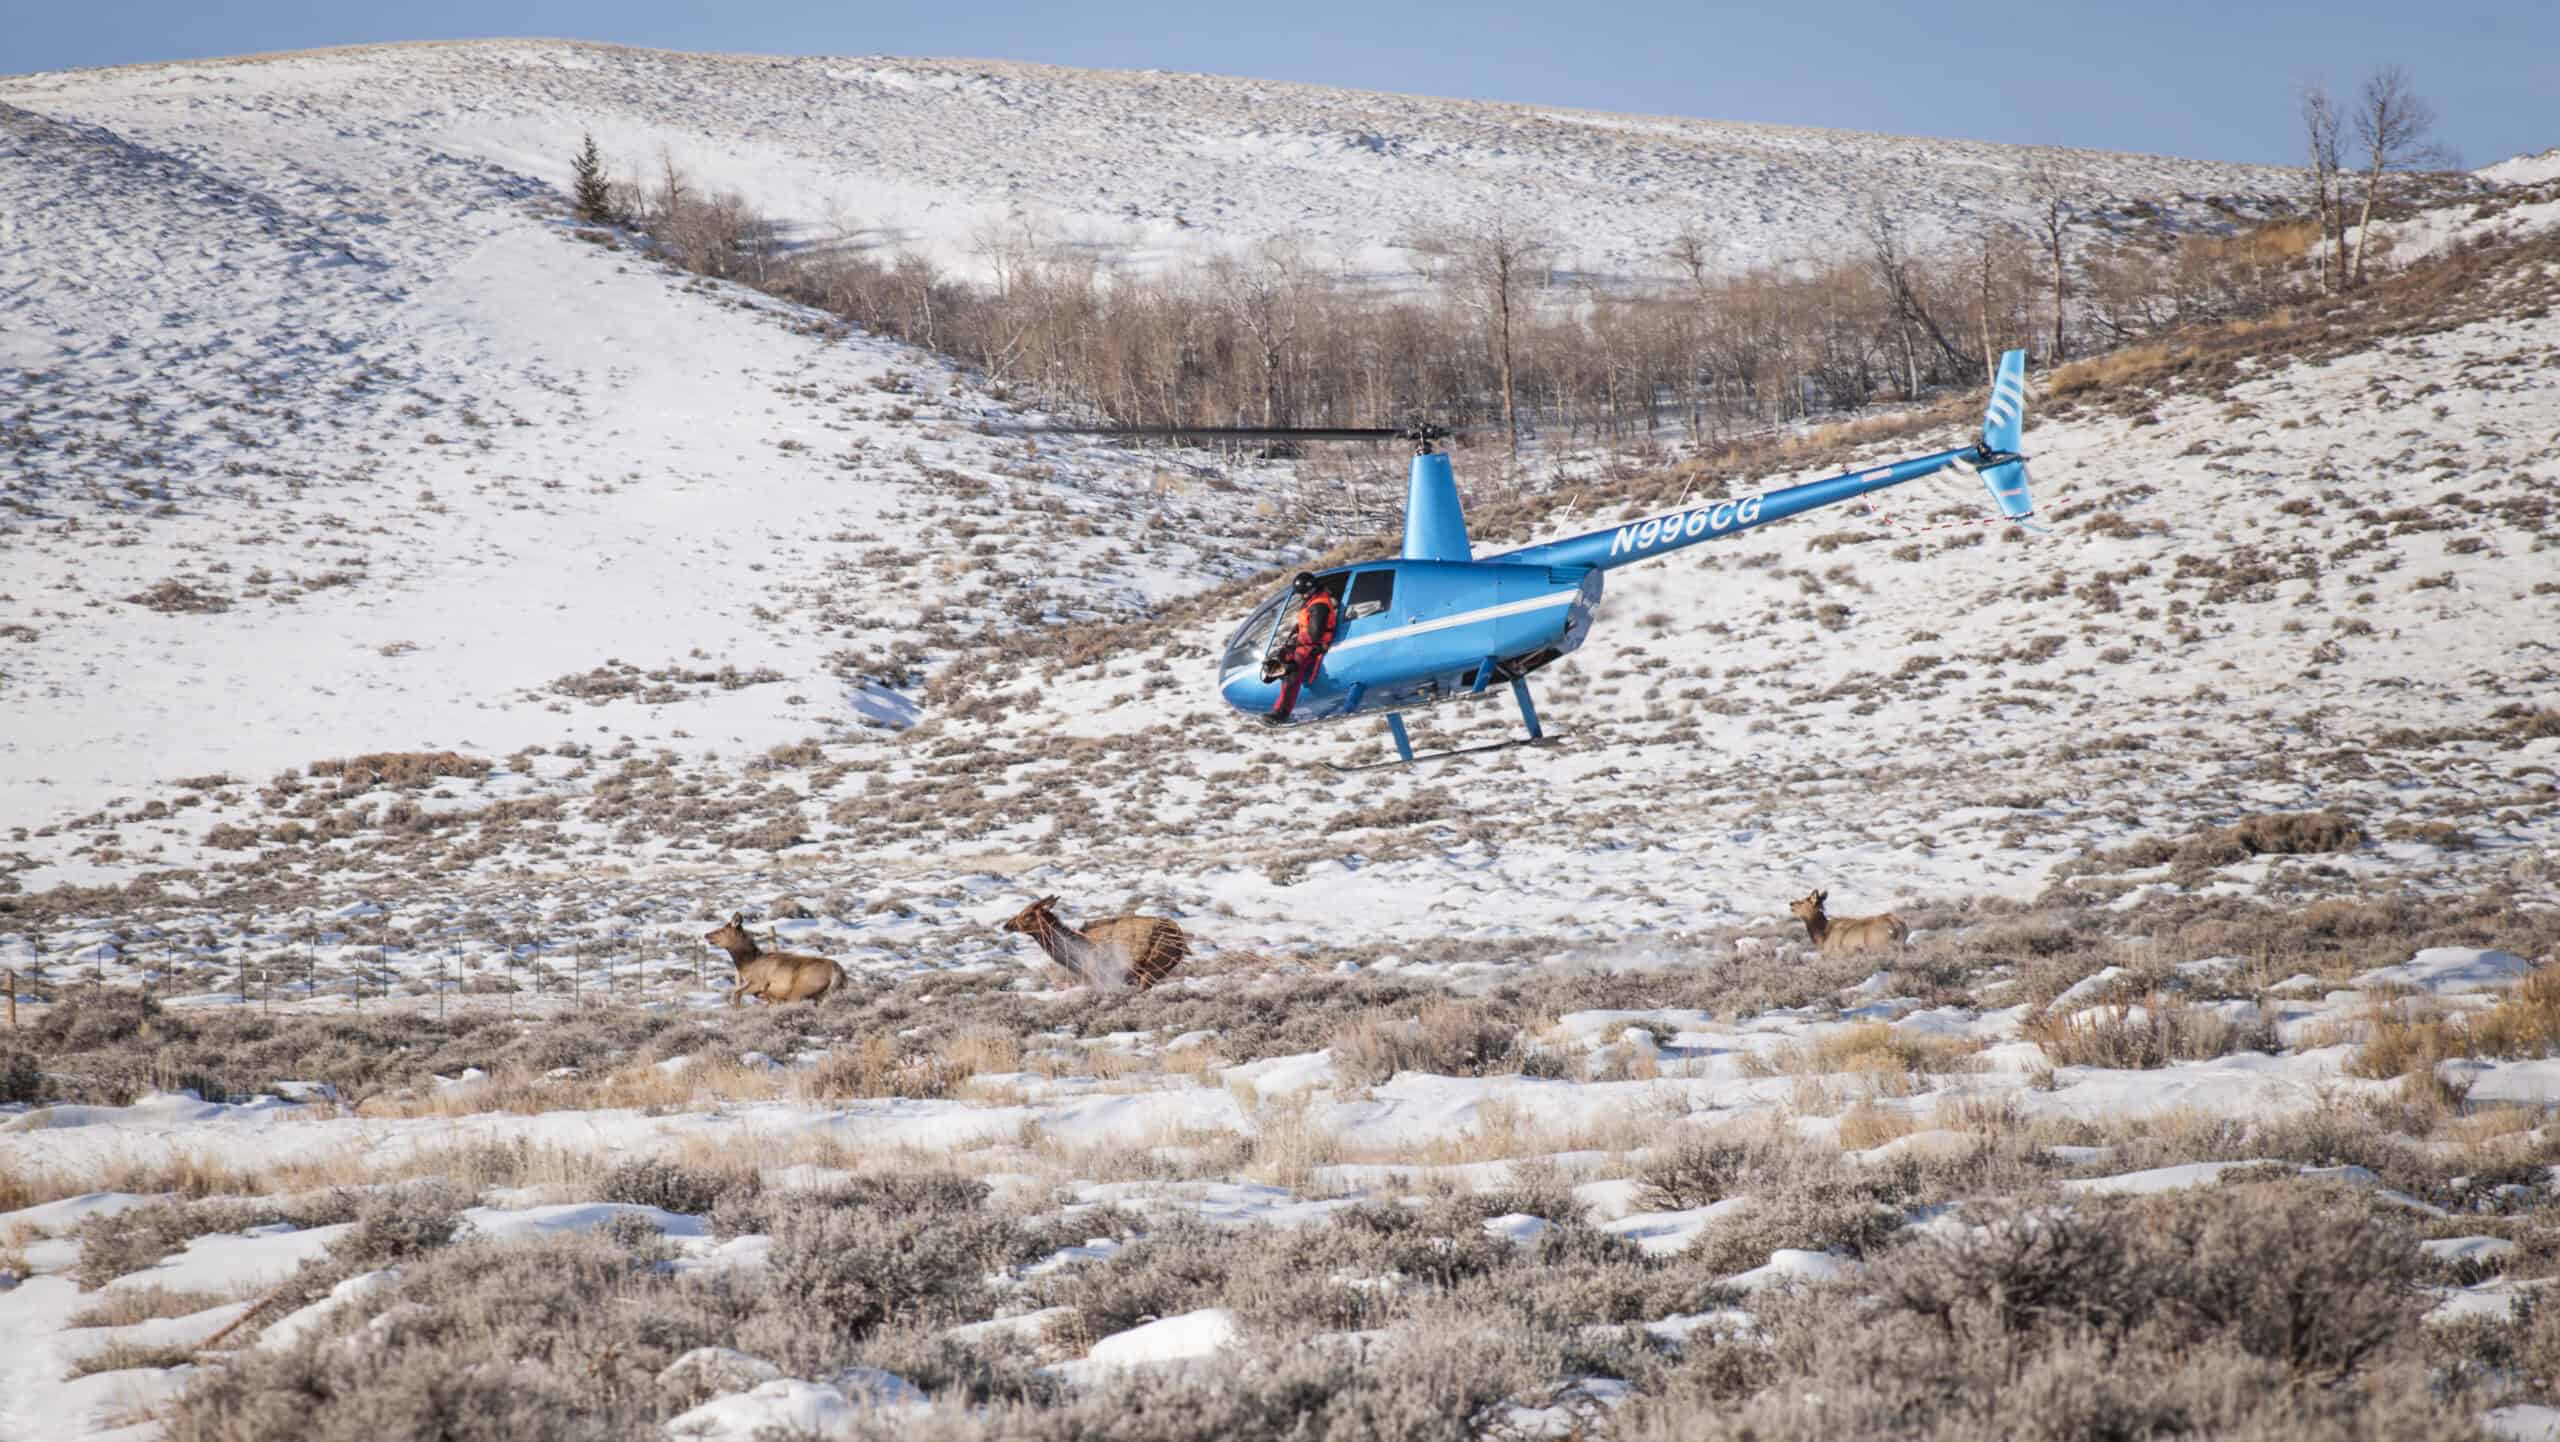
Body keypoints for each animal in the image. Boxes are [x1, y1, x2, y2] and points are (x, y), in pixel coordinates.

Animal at [701, 913, 846, 1005]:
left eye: (721, 930)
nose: (706, 934)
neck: (748, 964)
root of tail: (837, 971)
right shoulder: (771, 997)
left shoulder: (759, 983)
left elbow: (736, 993)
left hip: (801, 990)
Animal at [999, 895, 1189, 990]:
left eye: (1028, 914)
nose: (1006, 925)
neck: (1073, 955)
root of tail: (1180, 938)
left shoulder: (1102, 976)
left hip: (1153, 968)